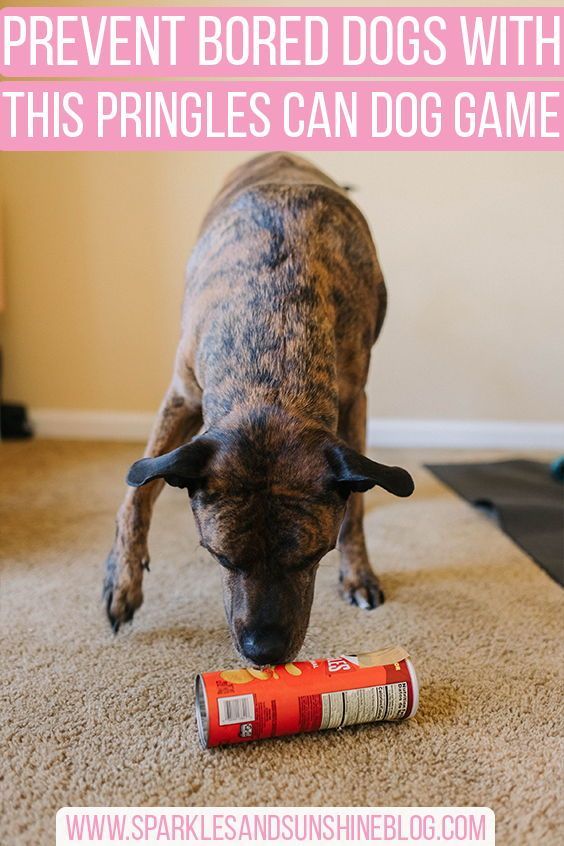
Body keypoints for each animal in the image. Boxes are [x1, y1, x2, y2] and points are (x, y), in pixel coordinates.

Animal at [103, 154, 414, 668]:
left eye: (313, 556)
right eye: (220, 557)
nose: (263, 652)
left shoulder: (355, 400)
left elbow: (357, 508)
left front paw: (357, 572)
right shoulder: (182, 394)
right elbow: (138, 492)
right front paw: (122, 579)